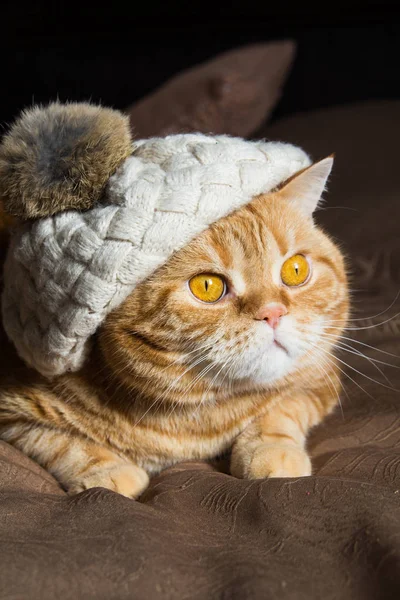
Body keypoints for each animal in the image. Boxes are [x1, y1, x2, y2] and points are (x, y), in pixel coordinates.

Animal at [0, 158, 346, 496]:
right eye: (207, 286)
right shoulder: (13, 412)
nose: (273, 313)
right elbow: (62, 444)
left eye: (295, 270)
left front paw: (271, 450)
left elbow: (281, 411)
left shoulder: (320, 380)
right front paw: (108, 470)